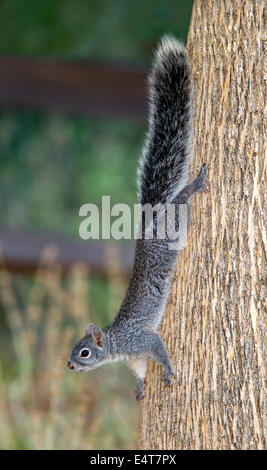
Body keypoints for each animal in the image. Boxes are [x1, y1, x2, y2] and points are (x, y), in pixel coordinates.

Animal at [68, 35, 208, 398]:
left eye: (84, 352)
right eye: (73, 349)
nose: (70, 365)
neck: (117, 344)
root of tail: (149, 223)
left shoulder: (143, 340)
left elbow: (159, 350)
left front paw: (169, 371)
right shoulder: (135, 357)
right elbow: (141, 369)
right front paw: (141, 385)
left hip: (174, 224)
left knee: (180, 203)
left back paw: (191, 188)